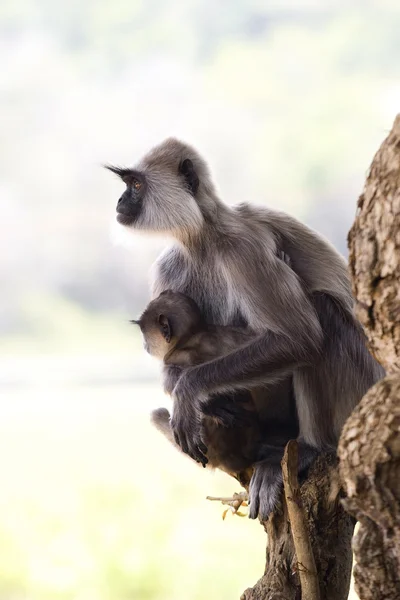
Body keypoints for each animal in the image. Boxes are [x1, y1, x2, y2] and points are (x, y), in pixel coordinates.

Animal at [131, 290, 296, 492]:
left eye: (144, 333)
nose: (144, 345)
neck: (193, 336)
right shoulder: (227, 333)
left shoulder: (173, 357)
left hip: (211, 454)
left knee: (158, 413)